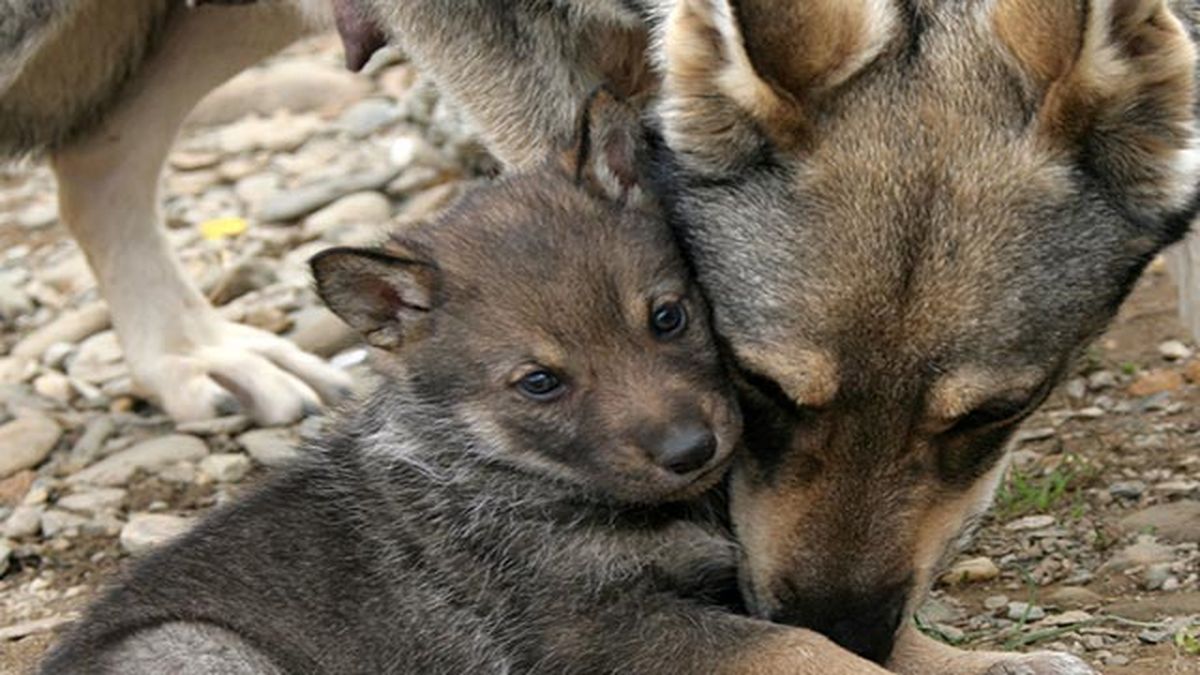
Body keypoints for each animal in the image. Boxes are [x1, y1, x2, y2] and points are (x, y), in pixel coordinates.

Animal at [37, 97, 893, 675]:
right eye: (540, 382)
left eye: (668, 316)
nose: (692, 450)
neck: (505, 470)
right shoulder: (596, 626)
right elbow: (799, 646)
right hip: (195, 648)